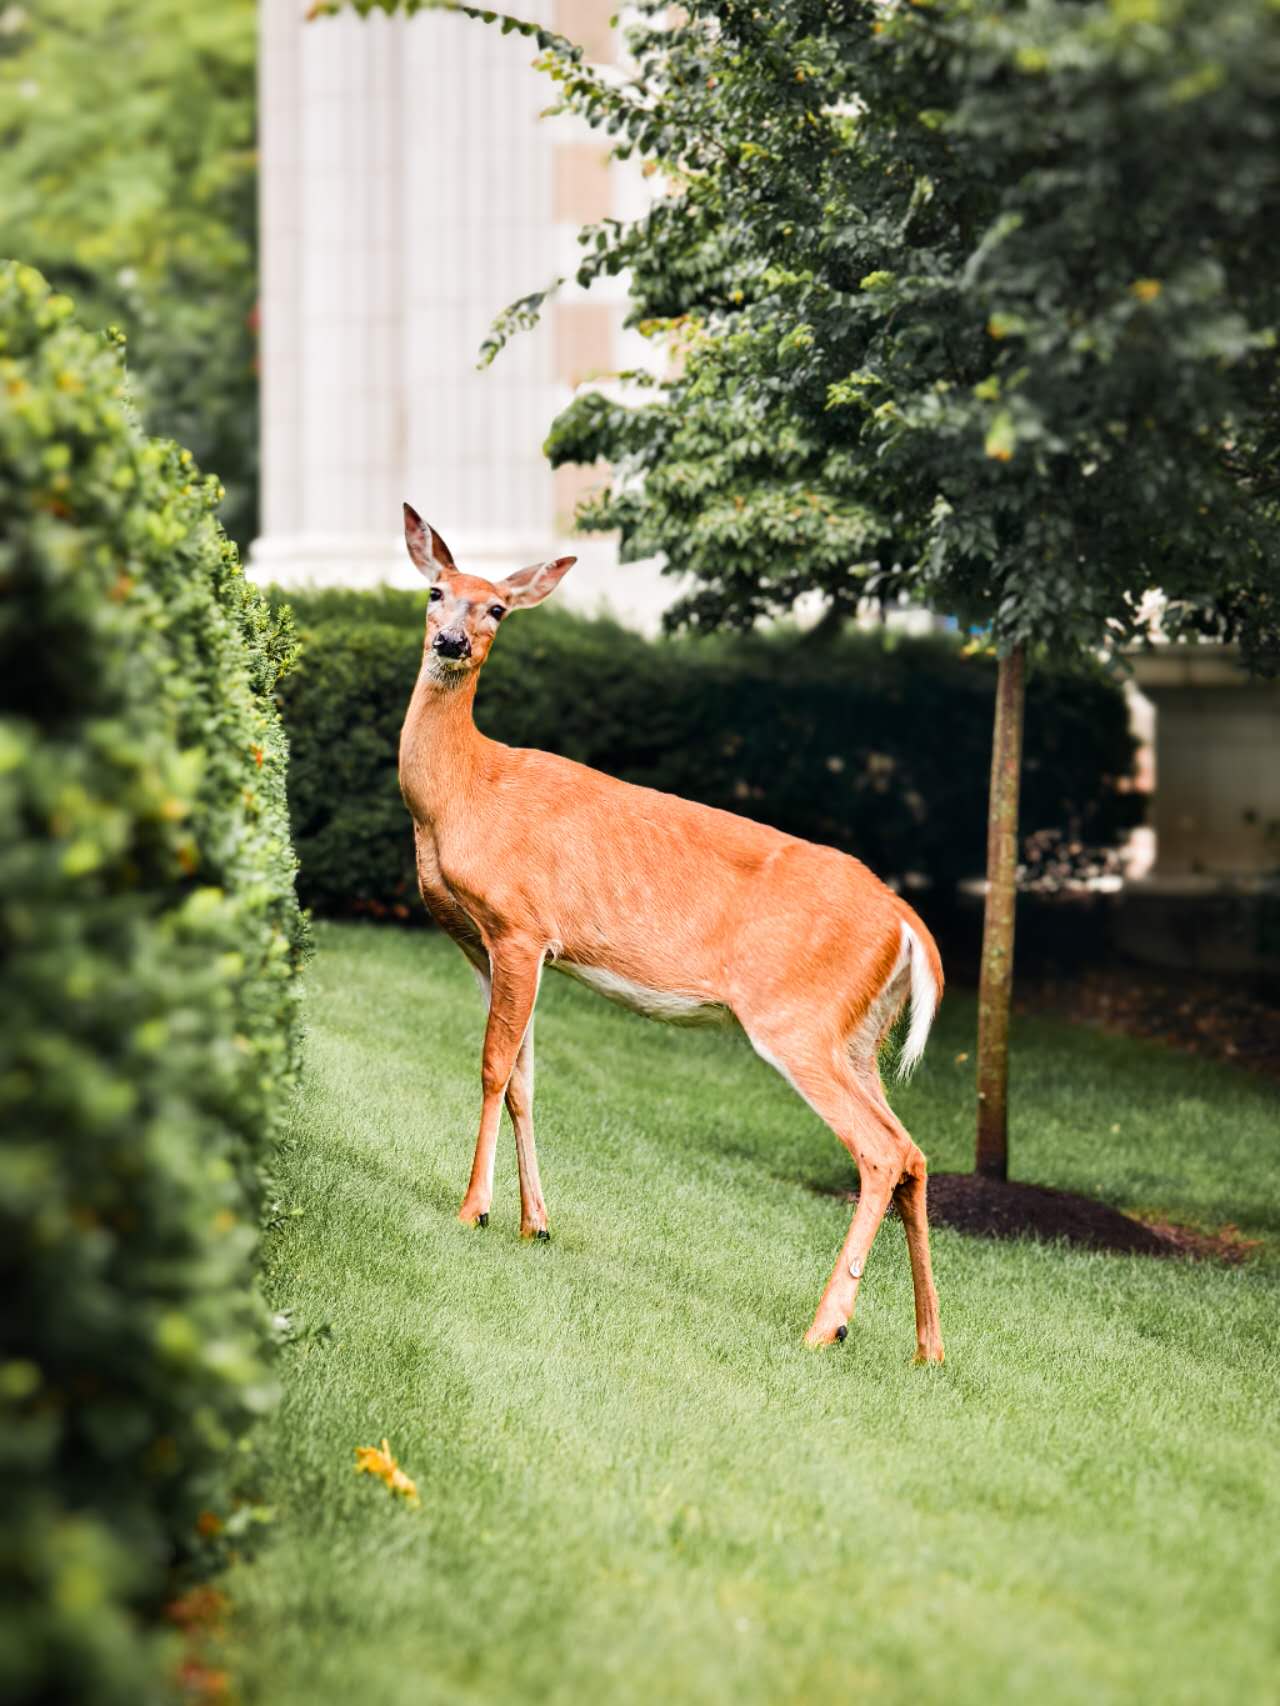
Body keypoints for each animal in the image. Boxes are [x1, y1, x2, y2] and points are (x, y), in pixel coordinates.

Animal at [397, 503, 945, 1363]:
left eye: (496, 609)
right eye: (433, 591)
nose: (451, 641)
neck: (462, 793)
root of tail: (907, 922)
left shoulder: (519, 925)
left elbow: (490, 1068)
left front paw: (473, 1208)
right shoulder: (491, 945)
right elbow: (523, 1079)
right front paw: (535, 1222)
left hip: (798, 1018)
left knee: (880, 1150)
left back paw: (827, 1325)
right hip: (860, 1036)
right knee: (914, 1152)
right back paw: (927, 1347)